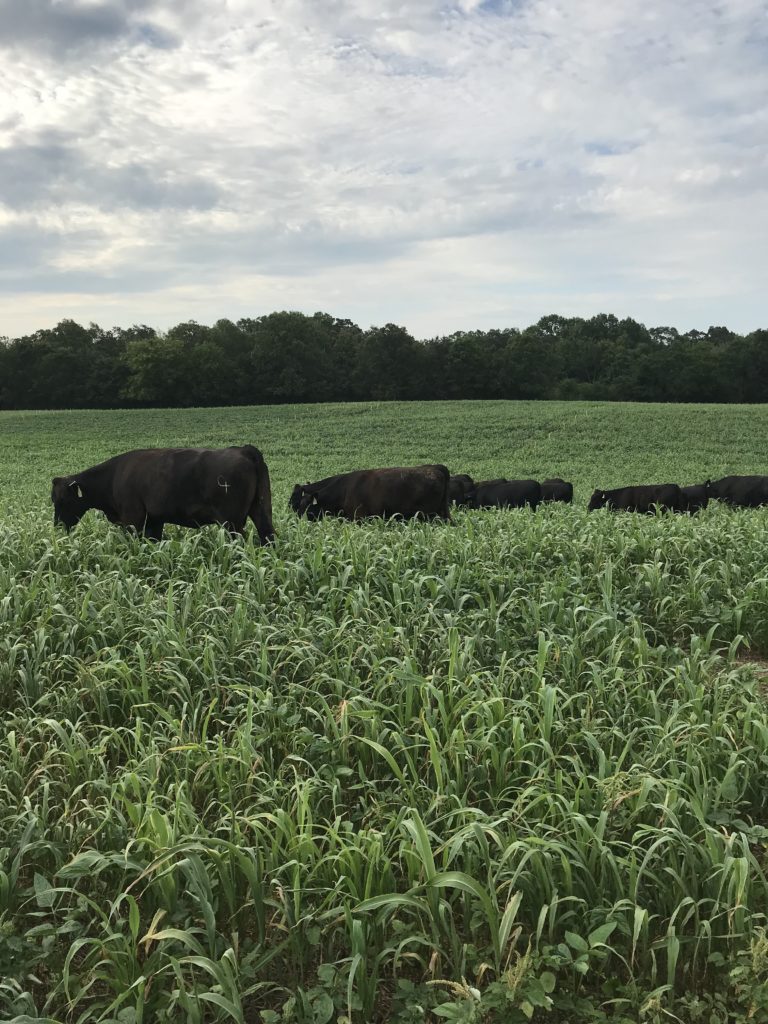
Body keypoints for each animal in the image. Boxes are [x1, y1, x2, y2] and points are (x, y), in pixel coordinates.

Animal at [51, 448, 274, 544]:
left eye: (62, 500)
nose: (57, 527)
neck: (113, 477)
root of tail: (244, 450)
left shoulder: (133, 519)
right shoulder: (154, 520)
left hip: (231, 522)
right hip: (262, 510)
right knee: (267, 535)